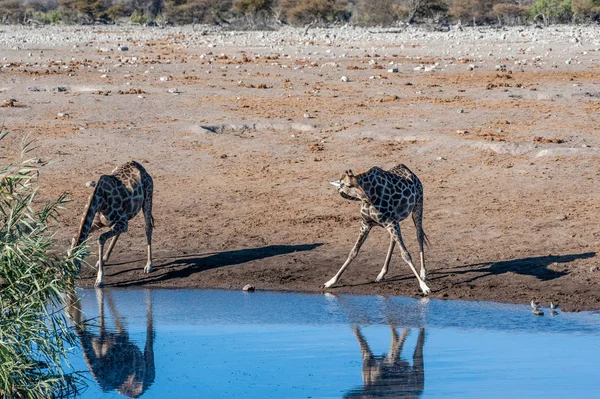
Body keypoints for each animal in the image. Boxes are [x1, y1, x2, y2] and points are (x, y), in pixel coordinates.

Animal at [70, 161, 155, 290]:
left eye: (71, 267)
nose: (69, 282)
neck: (98, 200)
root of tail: (141, 168)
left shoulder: (122, 222)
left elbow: (100, 238)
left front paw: (99, 280)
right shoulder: (97, 223)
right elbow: (77, 236)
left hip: (147, 199)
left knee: (148, 227)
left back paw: (148, 265)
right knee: (118, 233)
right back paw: (103, 260)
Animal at [324, 164, 432, 296]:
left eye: (358, 182)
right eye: (349, 185)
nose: (366, 197)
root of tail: (411, 173)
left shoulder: (389, 222)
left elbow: (406, 254)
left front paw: (424, 286)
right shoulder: (366, 224)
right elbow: (353, 252)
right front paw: (331, 281)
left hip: (417, 205)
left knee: (419, 235)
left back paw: (423, 274)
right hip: (396, 220)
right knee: (393, 240)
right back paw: (381, 274)